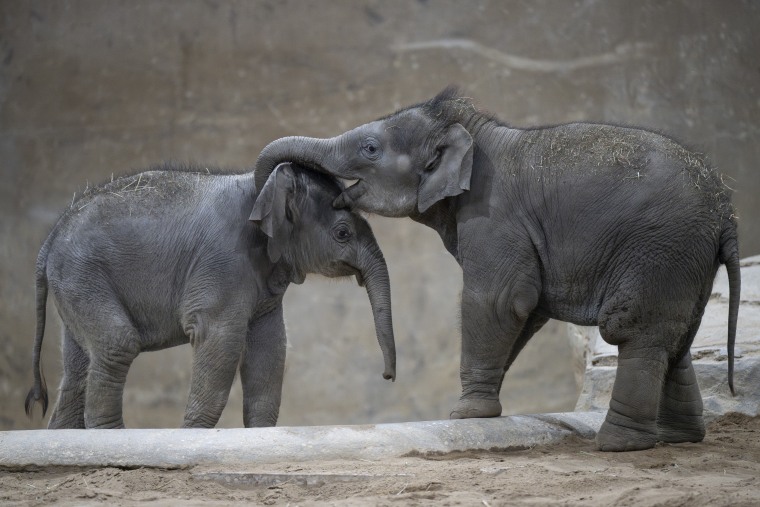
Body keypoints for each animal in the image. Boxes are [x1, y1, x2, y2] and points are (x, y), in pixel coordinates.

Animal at [25, 162, 396, 429]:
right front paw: (192, 434)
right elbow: (221, 340)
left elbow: (270, 346)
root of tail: (50, 238)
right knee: (117, 344)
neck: (263, 189)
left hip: (75, 285)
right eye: (343, 233)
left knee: (78, 367)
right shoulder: (223, 262)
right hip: (82, 275)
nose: (387, 376)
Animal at [252, 87, 741, 451]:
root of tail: (724, 207)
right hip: (684, 258)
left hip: (659, 246)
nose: (388, 377)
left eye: (370, 149)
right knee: (675, 335)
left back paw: (617, 444)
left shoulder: (494, 215)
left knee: (634, 329)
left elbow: (500, 300)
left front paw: (463, 414)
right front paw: (479, 407)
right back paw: (679, 438)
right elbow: (527, 308)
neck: (474, 134)